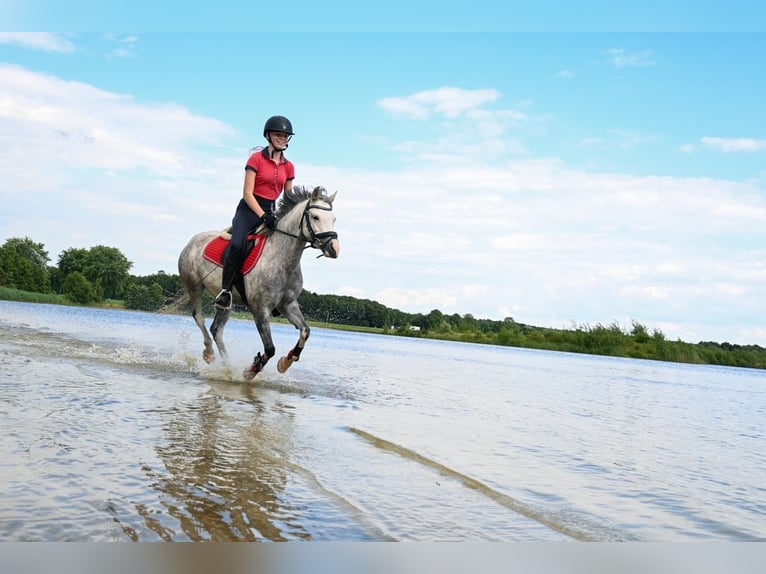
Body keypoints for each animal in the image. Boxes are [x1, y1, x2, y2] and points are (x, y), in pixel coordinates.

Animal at [178, 187, 340, 380]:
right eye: (315, 217)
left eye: (334, 219)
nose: (334, 249)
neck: (282, 258)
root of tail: (192, 241)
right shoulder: (260, 309)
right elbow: (270, 348)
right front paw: (251, 370)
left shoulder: (288, 304)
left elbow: (305, 331)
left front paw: (286, 362)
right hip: (194, 285)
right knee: (199, 317)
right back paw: (209, 353)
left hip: (227, 303)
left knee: (216, 329)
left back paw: (228, 368)